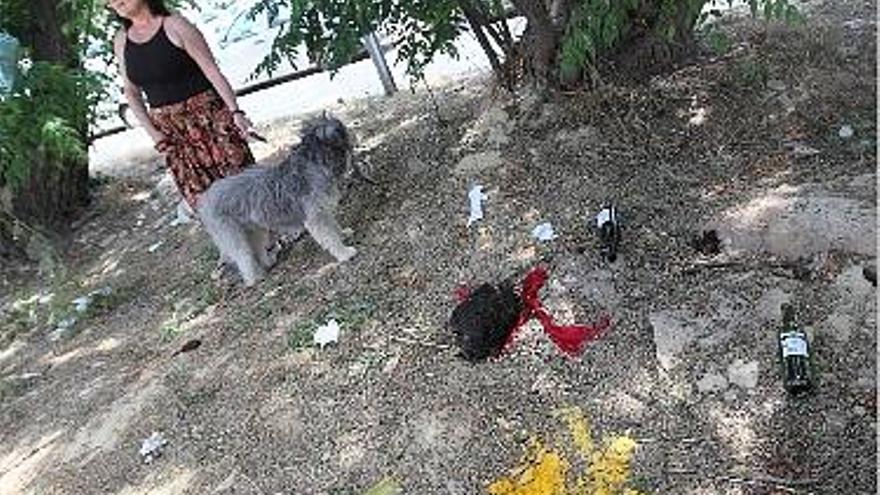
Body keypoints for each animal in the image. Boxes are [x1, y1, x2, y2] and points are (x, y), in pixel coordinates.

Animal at [199, 116, 358, 286]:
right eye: (340, 130)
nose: (353, 133)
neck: (312, 164)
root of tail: (204, 199)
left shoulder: (324, 211)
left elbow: (335, 227)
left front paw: (343, 234)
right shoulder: (317, 217)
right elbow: (330, 237)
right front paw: (344, 253)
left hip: (254, 231)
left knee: (256, 250)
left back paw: (267, 262)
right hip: (233, 236)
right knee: (243, 257)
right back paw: (254, 278)